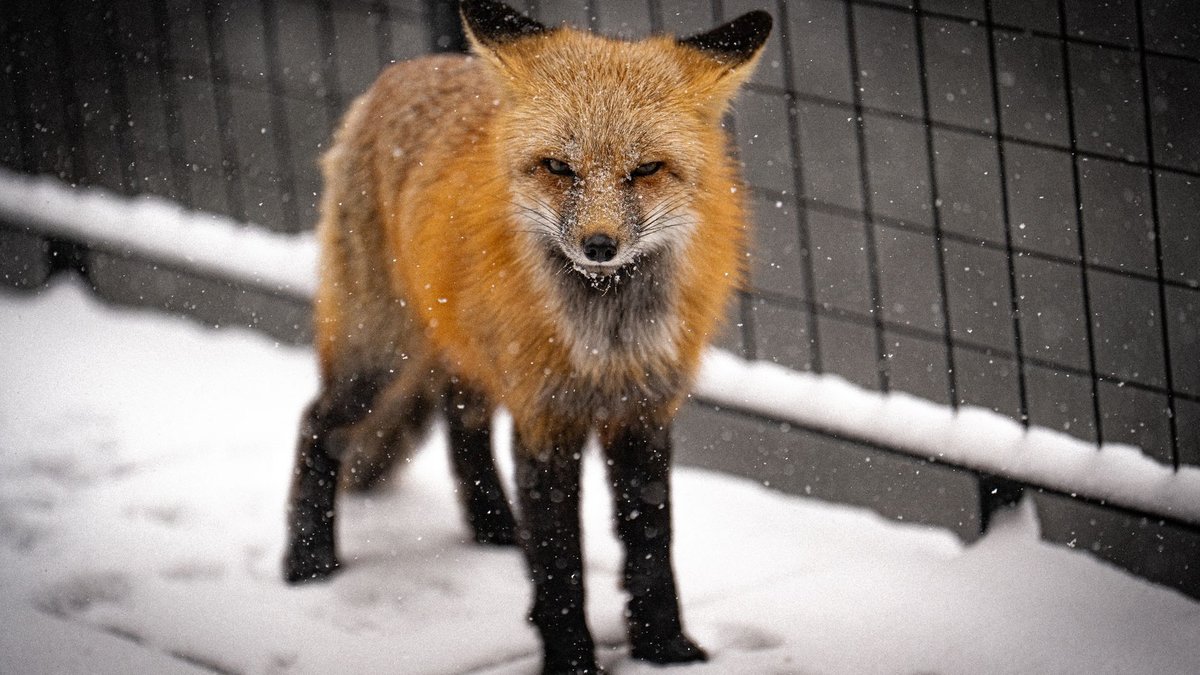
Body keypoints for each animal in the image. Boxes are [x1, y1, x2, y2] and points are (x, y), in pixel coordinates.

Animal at [283, 1, 772, 672]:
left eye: (646, 169)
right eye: (559, 167)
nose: (599, 245)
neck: (603, 338)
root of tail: (407, 68)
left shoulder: (644, 409)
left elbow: (651, 541)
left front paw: (665, 647)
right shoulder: (544, 415)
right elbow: (561, 562)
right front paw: (571, 659)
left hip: (464, 354)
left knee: (461, 421)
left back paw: (494, 529)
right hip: (378, 353)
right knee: (319, 424)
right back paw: (309, 563)